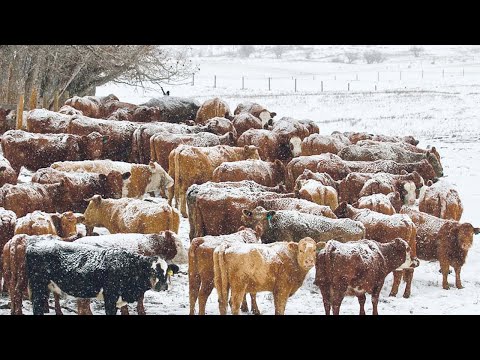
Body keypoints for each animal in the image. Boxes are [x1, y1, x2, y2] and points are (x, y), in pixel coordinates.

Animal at [25, 239, 178, 316]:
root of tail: (34, 243)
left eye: (166, 272)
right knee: (37, 308)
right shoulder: (110, 296)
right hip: (38, 285)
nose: (163, 285)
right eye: (152, 270)